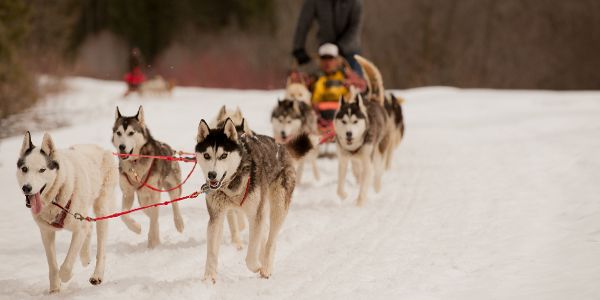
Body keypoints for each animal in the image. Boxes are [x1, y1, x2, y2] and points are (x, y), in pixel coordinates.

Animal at [16, 132, 117, 292]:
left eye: (42, 170)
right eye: (25, 169)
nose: (26, 188)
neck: (56, 195)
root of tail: (101, 149)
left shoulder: (78, 229)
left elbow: (67, 264)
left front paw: (65, 277)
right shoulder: (46, 232)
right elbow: (52, 265)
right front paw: (54, 289)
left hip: (101, 209)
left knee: (100, 249)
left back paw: (97, 275)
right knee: (89, 226)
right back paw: (85, 257)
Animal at [112, 106, 183, 248]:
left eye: (131, 133)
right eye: (119, 133)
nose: (122, 147)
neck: (134, 163)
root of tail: (169, 148)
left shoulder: (154, 193)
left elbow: (154, 218)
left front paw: (153, 241)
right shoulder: (128, 193)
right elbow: (124, 215)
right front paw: (136, 227)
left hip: (172, 184)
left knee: (174, 201)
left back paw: (179, 223)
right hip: (142, 195)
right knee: (148, 209)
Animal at [196, 118, 312, 284]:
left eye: (224, 155)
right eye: (206, 155)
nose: (212, 175)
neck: (231, 185)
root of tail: (281, 146)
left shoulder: (256, 215)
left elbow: (251, 255)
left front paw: (257, 266)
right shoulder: (216, 216)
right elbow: (211, 251)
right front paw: (208, 278)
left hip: (277, 206)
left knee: (271, 240)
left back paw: (266, 267)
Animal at [332, 55, 394, 206]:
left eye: (355, 121)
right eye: (344, 121)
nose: (349, 133)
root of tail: (373, 100)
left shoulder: (367, 162)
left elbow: (365, 184)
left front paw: (359, 204)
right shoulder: (343, 160)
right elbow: (339, 187)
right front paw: (344, 195)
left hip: (378, 151)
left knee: (377, 171)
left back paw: (377, 187)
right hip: (355, 161)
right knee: (357, 171)